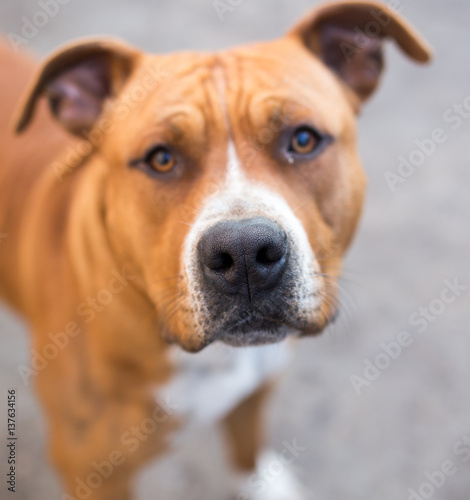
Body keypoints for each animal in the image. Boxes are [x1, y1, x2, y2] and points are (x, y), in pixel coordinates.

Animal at [0, 1, 430, 498]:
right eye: (160, 158)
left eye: (303, 139)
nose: (244, 253)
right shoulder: (90, 471)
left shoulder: (257, 385)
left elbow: (247, 444)